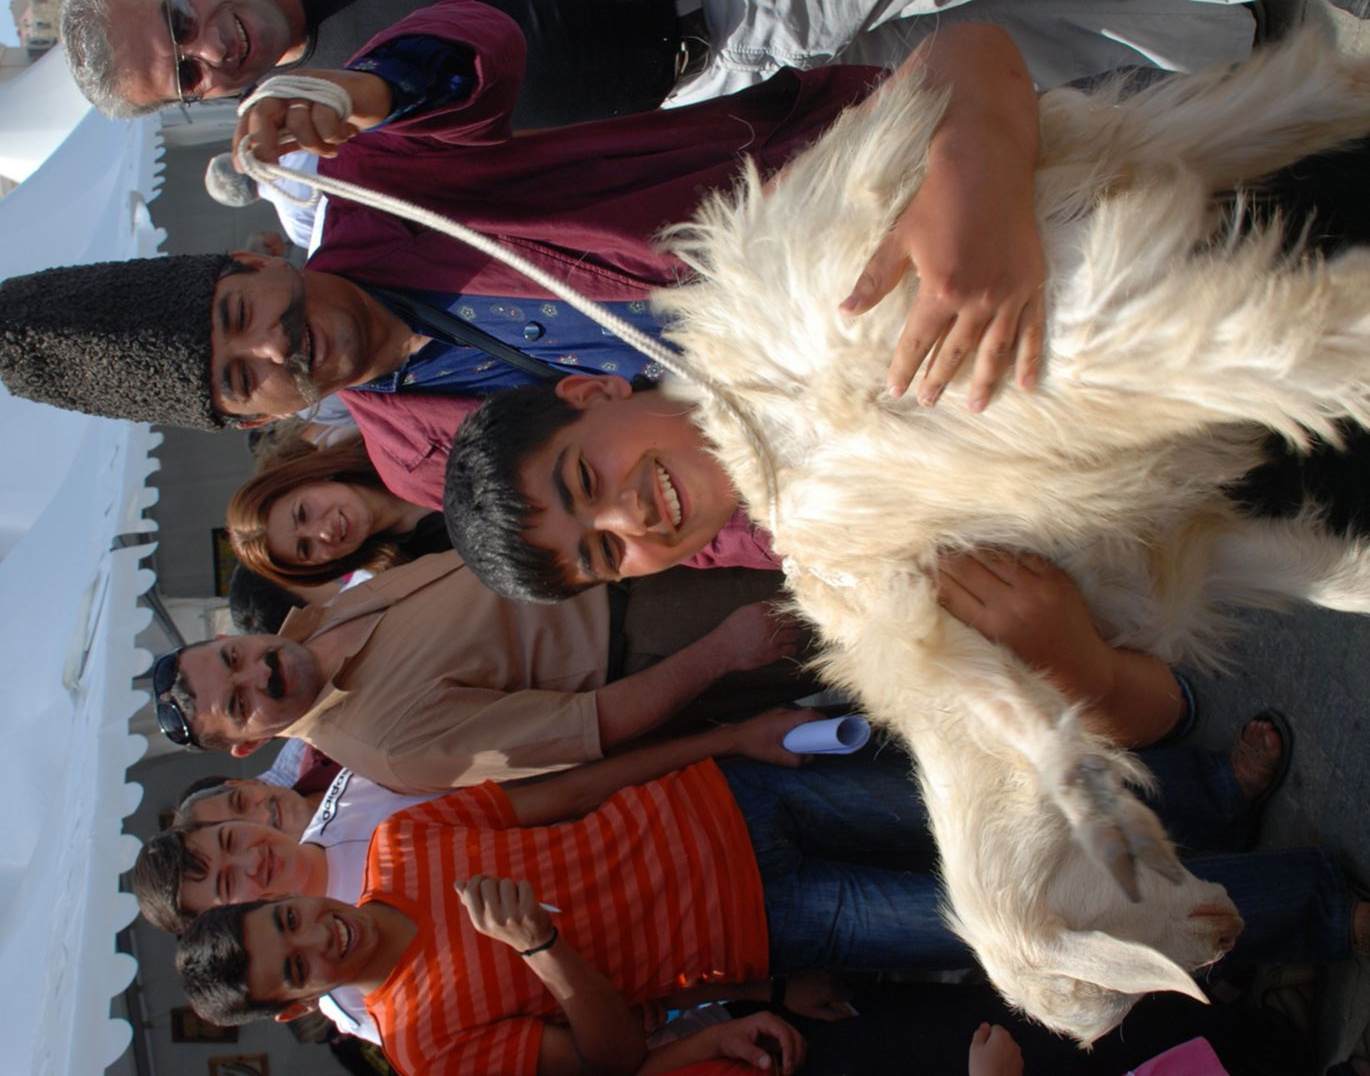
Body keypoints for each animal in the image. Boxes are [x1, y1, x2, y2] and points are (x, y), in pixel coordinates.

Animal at [654, 24, 1370, 1043]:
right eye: (1122, 997)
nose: (1231, 931)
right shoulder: (1171, 561)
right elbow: (1328, 580)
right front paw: (1091, 792)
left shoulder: (922, 612)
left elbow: (1004, 705)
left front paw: (1087, 800)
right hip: (1105, 183)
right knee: (1289, 103)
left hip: (1018, 353)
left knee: (1266, 340)